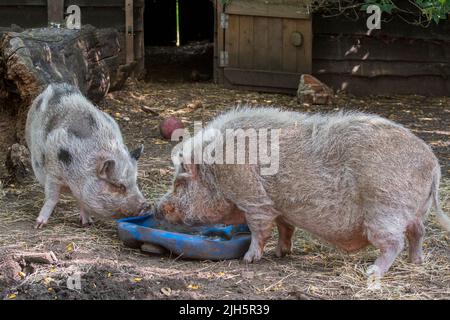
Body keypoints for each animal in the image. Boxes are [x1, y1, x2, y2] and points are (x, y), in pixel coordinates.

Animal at [25, 82, 149, 228]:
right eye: (119, 186)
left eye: (135, 182)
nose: (146, 205)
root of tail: (57, 85)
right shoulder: (53, 172)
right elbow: (52, 198)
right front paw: (38, 225)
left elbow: (81, 202)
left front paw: (87, 223)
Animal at [156, 106, 450, 276]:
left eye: (180, 183)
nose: (157, 207)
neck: (215, 170)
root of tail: (433, 164)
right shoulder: (280, 207)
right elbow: (285, 228)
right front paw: (281, 253)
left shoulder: (254, 199)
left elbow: (259, 231)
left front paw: (249, 260)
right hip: (414, 212)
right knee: (418, 232)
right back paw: (416, 262)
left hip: (385, 209)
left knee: (394, 242)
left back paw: (372, 273)